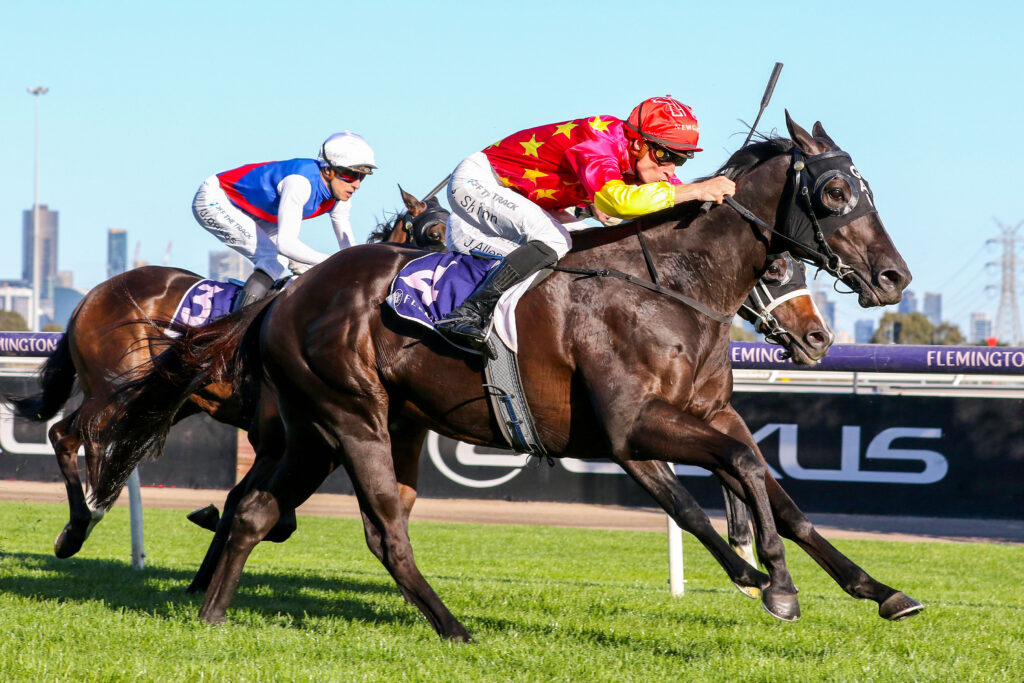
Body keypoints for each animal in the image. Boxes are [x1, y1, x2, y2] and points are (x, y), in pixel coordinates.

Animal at [1, 189, 447, 559]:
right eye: (435, 233)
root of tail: (92, 295)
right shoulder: (274, 433)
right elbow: (274, 515)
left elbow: (262, 511)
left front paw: (213, 521)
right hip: (115, 389)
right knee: (69, 435)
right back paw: (82, 522)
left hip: (159, 398)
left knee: (85, 438)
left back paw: (85, 518)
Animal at [97, 113, 915, 639]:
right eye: (836, 193)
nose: (893, 277)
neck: (668, 285)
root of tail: (285, 299)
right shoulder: (633, 430)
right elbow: (729, 478)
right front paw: (771, 581)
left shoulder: (702, 418)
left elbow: (776, 492)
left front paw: (878, 589)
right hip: (351, 419)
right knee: (382, 531)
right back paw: (455, 629)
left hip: (315, 431)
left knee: (255, 511)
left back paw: (211, 613)